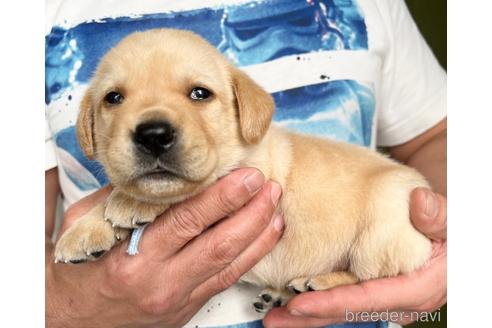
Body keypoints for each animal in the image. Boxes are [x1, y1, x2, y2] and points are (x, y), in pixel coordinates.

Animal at [54, 28, 430, 312]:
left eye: (200, 93)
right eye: (114, 98)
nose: (154, 135)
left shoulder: (250, 180)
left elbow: (189, 188)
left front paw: (130, 202)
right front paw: (83, 230)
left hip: (380, 230)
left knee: (373, 274)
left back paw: (319, 282)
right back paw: (283, 293)